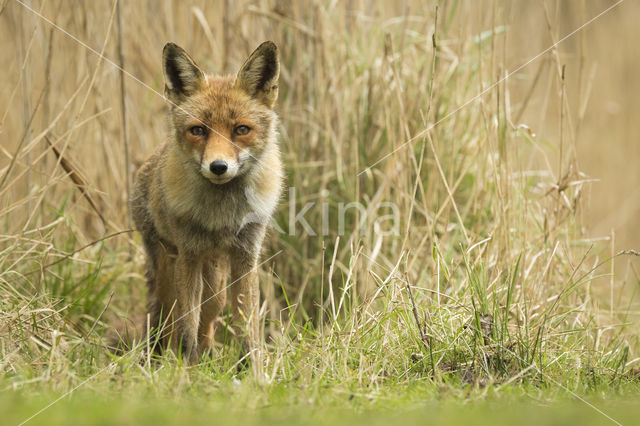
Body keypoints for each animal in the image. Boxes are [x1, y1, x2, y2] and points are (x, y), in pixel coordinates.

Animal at [131, 41, 284, 364]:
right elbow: (187, 328)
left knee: (208, 324)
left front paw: (250, 368)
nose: (218, 167)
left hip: (215, 286)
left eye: (241, 130)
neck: (221, 216)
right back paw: (161, 359)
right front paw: (185, 369)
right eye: (198, 130)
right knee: (167, 322)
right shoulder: (188, 256)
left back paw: (209, 357)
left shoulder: (246, 257)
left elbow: (247, 327)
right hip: (169, 270)